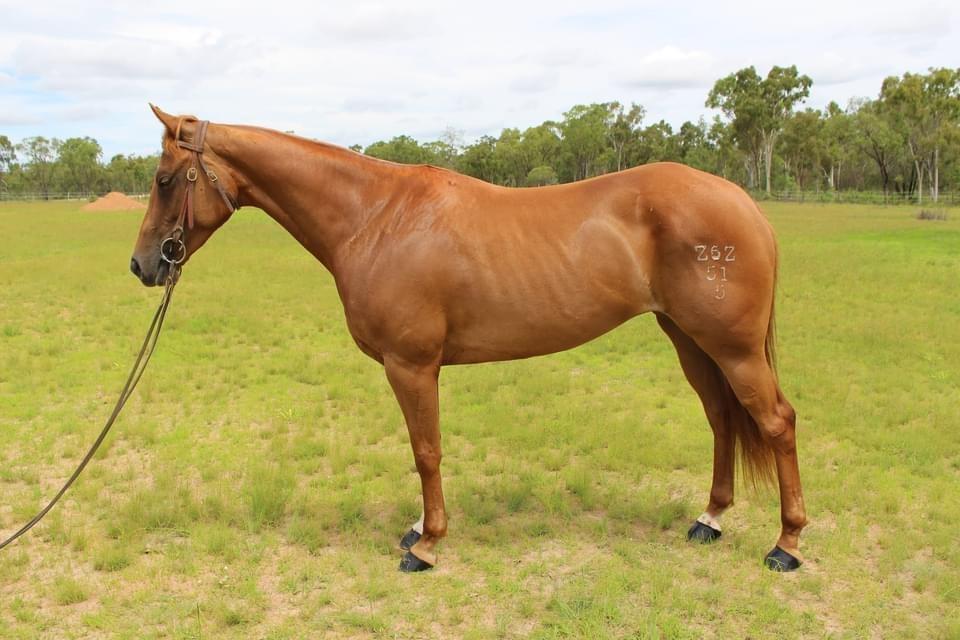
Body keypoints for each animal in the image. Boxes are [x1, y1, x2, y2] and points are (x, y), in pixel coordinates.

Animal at [131, 105, 807, 573]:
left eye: (165, 179)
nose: (143, 266)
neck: (376, 217)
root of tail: (743, 202)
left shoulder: (411, 365)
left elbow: (426, 450)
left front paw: (426, 545)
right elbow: (422, 450)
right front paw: (418, 529)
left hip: (733, 348)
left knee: (776, 422)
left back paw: (787, 544)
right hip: (691, 341)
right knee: (721, 418)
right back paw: (710, 520)